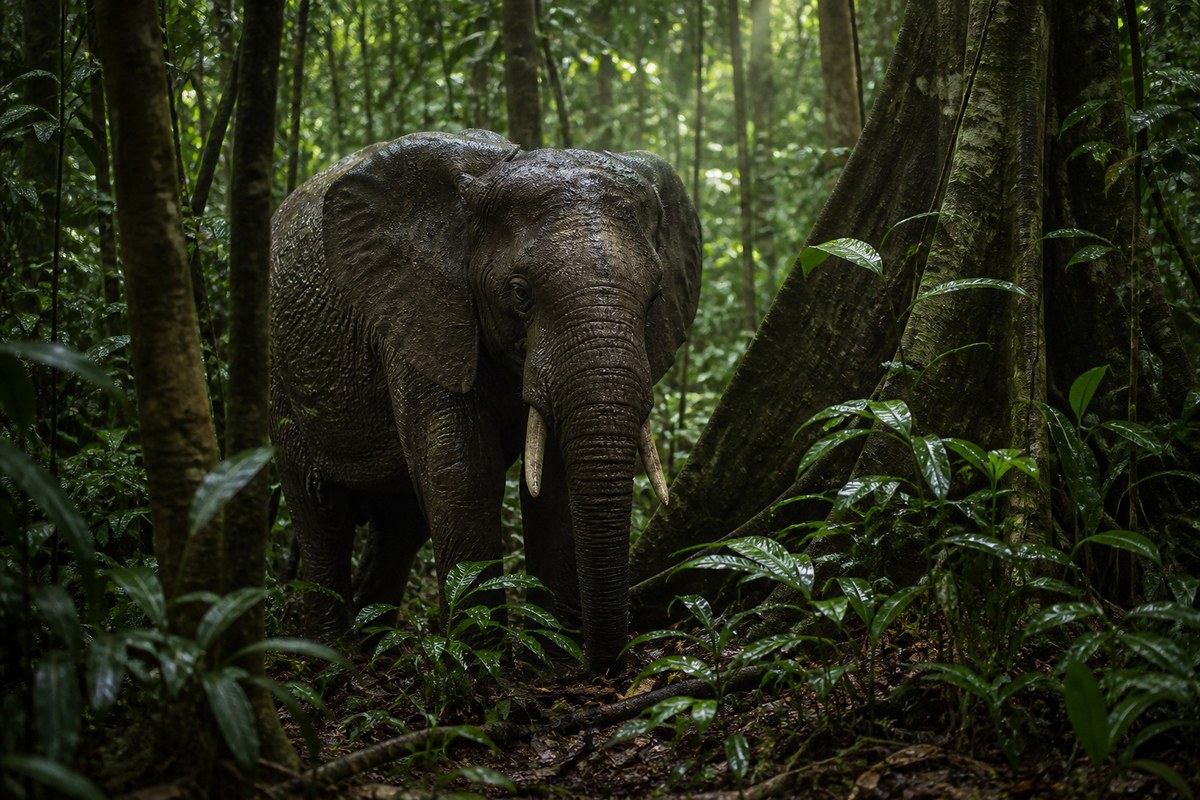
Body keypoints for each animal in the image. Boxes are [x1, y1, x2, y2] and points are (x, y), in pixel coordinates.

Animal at [269, 129, 701, 673]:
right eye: (519, 292)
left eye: (657, 295)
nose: (605, 665)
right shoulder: (420, 316)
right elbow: (463, 471)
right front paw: (483, 670)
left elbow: (553, 484)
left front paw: (551, 658)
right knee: (320, 507)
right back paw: (331, 657)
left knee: (399, 525)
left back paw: (372, 644)